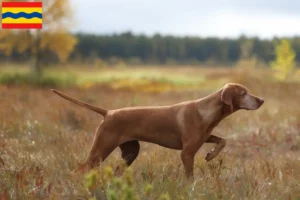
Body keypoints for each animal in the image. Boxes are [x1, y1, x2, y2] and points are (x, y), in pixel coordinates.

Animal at [51, 82, 264, 178]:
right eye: (244, 93)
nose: (261, 100)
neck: (207, 111)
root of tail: (109, 112)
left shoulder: (204, 137)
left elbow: (223, 140)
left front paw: (211, 154)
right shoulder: (187, 153)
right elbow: (189, 175)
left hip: (131, 151)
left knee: (118, 170)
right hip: (101, 149)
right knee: (82, 168)